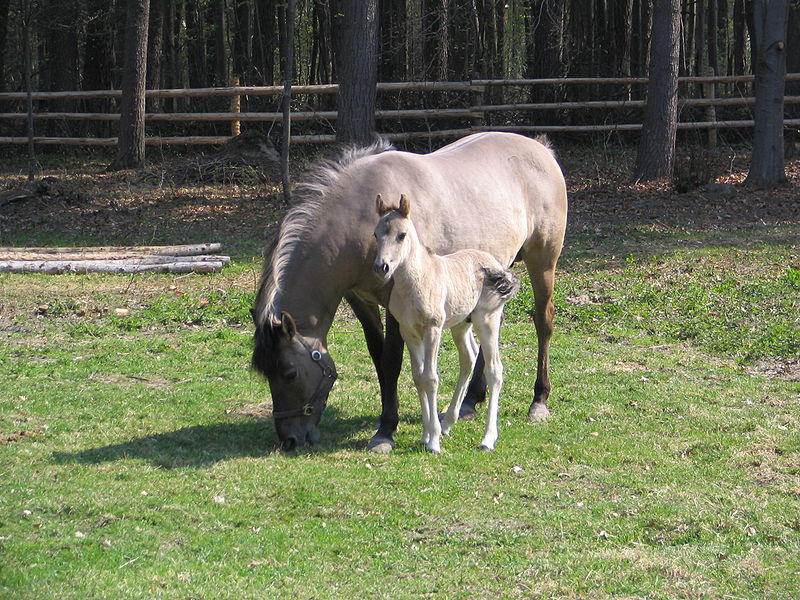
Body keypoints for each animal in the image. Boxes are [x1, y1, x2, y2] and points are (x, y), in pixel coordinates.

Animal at [374, 195, 520, 452]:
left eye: (401, 235)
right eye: (375, 234)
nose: (382, 267)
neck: (416, 281)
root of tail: (496, 265)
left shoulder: (432, 329)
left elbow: (431, 378)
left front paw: (433, 441)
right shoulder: (408, 331)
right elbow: (418, 377)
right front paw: (426, 434)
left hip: (486, 321)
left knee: (494, 370)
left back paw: (487, 438)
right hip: (461, 325)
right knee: (469, 358)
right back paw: (449, 421)